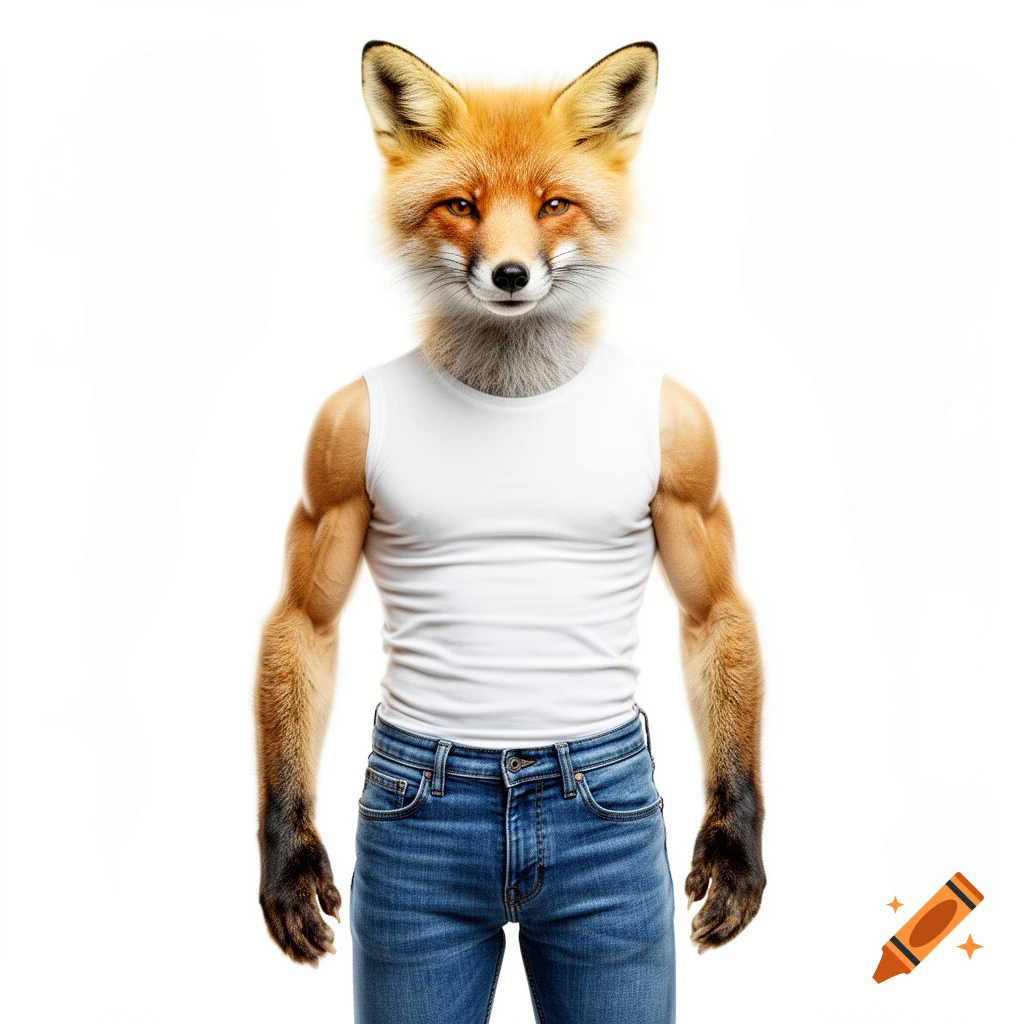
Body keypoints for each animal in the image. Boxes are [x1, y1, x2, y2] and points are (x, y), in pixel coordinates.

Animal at [255, 39, 766, 987]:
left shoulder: (692, 454)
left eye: (553, 204)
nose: (511, 274)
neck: (513, 393)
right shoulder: (332, 450)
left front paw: (734, 846)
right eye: (462, 206)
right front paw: (289, 862)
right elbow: (306, 617)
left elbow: (713, 609)